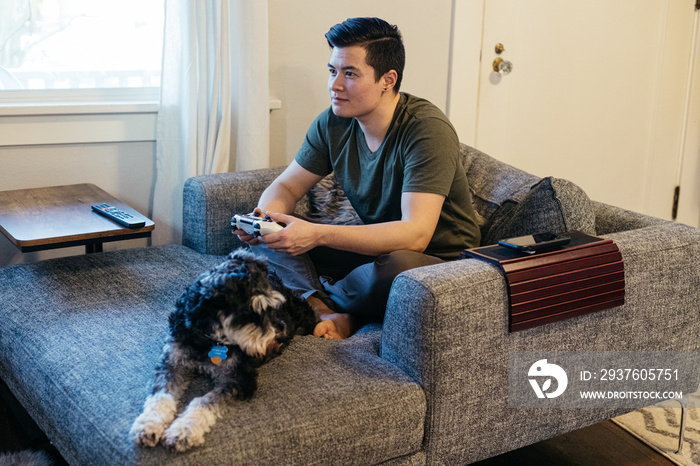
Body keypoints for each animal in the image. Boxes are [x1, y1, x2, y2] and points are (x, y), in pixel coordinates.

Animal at [129, 251, 318, 452]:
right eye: (250, 315)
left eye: (274, 307)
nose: (282, 335)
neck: (209, 338)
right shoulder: (172, 362)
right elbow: (161, 395)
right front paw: (147, 426)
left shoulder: (238, 379)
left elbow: (203, 401)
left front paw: (182, 431)